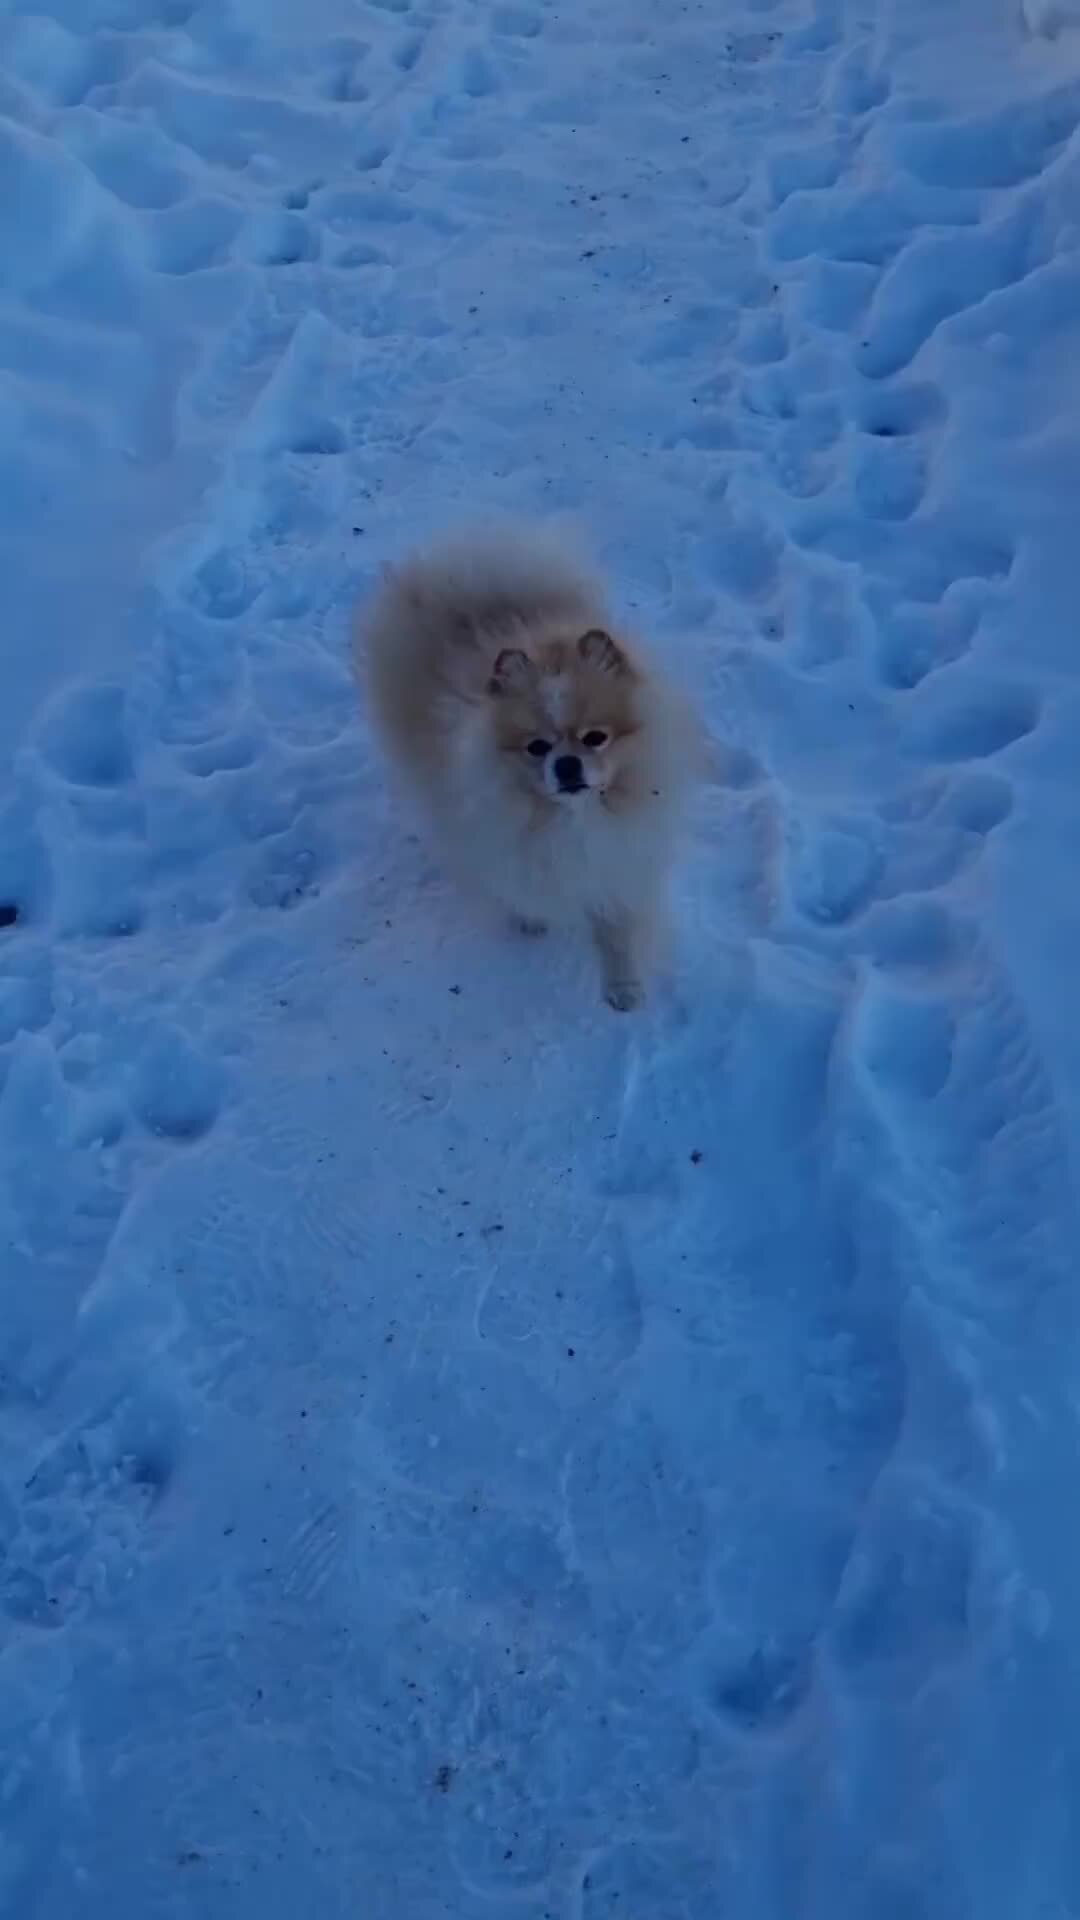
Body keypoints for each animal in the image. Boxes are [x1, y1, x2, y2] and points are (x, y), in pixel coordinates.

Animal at [353, 518, 699, 1013]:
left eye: (596, 738)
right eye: (537, 747)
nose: (567, 764)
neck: (574, 819)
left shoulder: (625, 856)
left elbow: (619, 928)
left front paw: (624, 988)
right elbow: (521, 881)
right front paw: (531, 919)